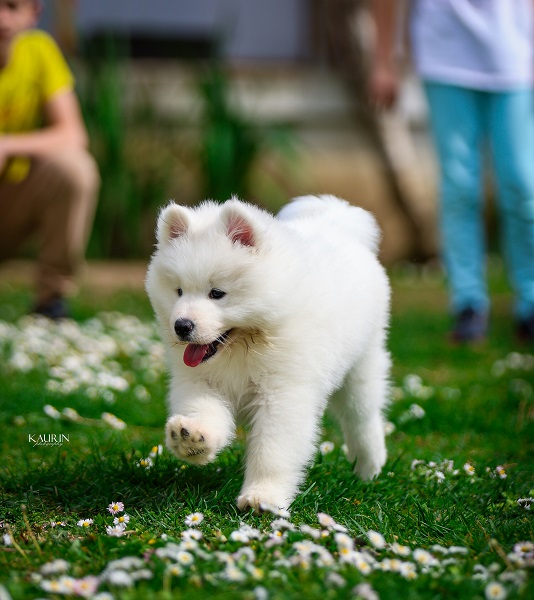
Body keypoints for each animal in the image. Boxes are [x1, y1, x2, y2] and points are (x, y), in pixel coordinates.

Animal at [144, 193, 392, 510]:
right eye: (178, 291)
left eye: (217, 293)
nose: (182, 326)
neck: (244, 347)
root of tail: (336, 222)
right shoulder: (199, 380)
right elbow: (205, 410)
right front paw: (192, 438)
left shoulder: (282, 393)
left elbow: (272, 451)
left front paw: (262, 496)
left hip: (362, 364)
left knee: (363, 418)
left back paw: (368, 468)